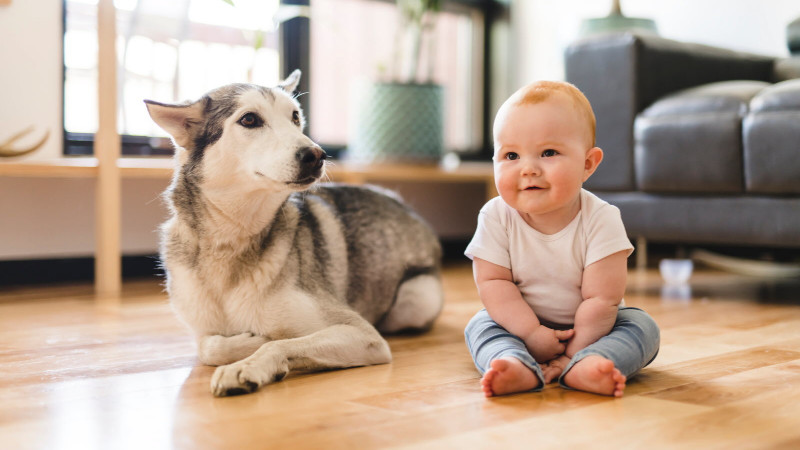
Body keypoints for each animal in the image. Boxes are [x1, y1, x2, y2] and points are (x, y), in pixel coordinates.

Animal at [145, 70, 444, 398]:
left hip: (416, 300)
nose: (317, 154)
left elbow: (279, 343)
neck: (233, 240)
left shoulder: (363, 335)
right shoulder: (203, 330)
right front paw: (249, 342)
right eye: (249, 120)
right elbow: (209, 347)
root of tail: (402, 202)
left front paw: (249, 362)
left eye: (295, 117)